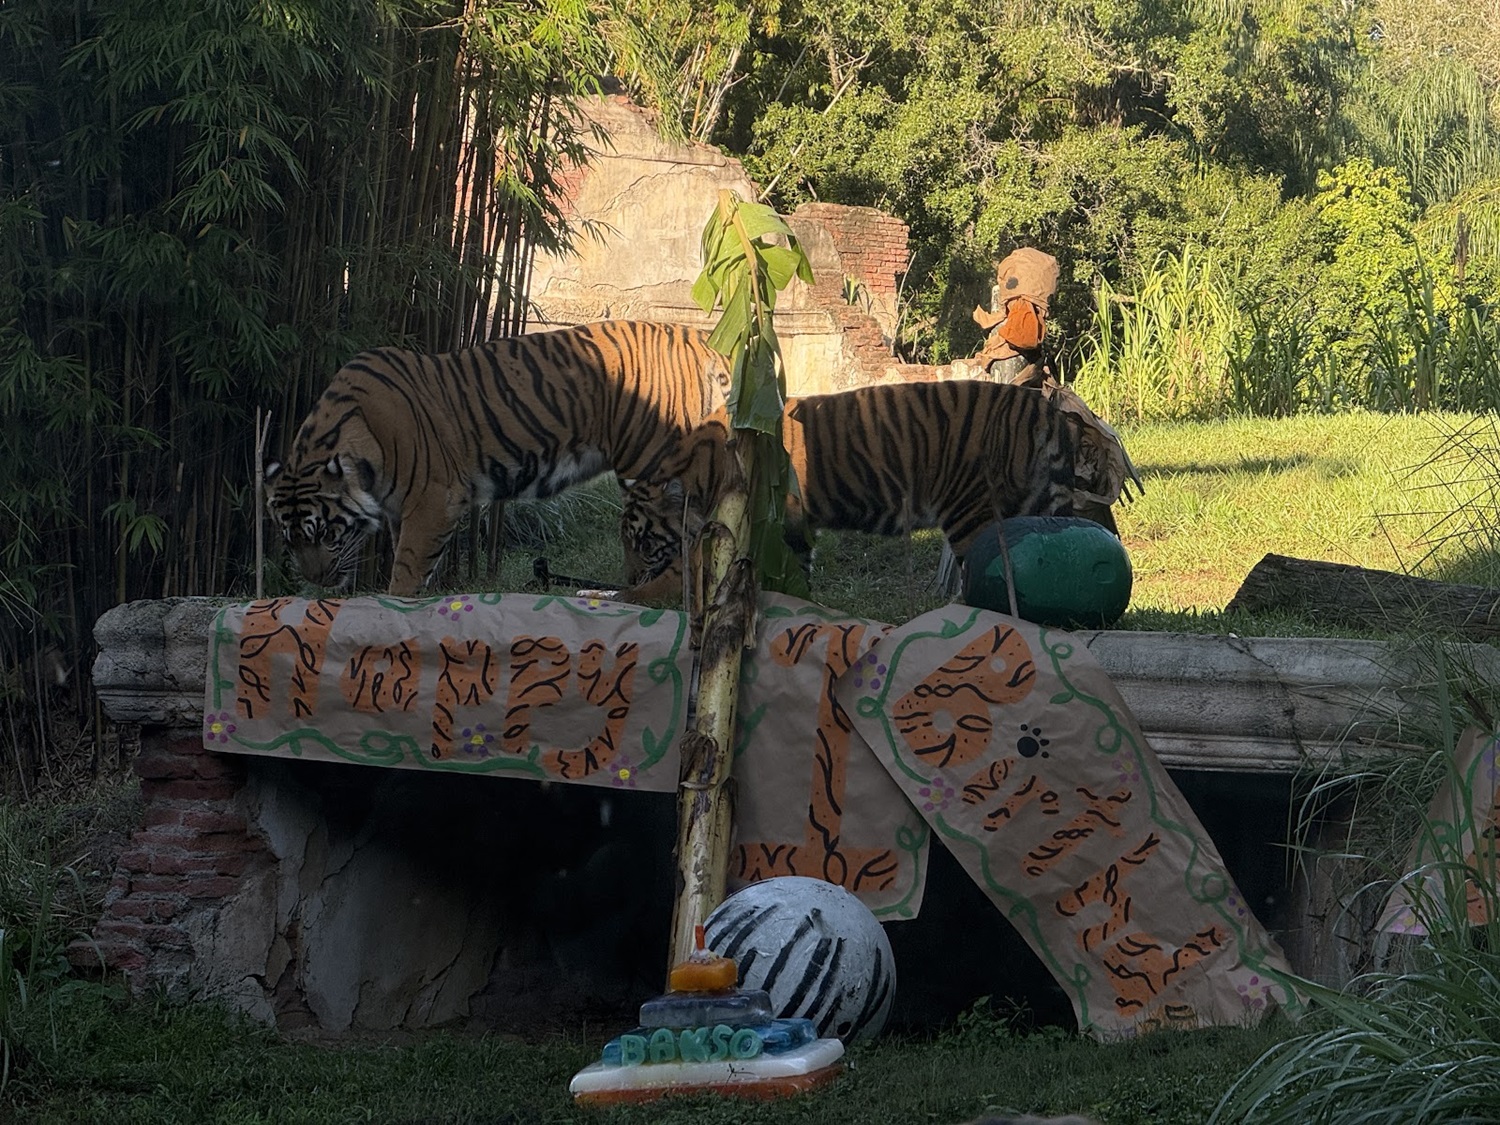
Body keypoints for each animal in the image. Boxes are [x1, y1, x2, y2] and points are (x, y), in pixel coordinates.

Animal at [265, 320, 730, 598]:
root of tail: (704, 341)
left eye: (326, 533)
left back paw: (644, 595)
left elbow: (408, 566)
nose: (316, 580)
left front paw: (396, 606)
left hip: (654, 465)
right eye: (290, 540)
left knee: (683, 534)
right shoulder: (400, 510)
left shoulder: (434, 501)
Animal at [620, 378, 1133, 603]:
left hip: (971, 510)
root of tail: (1044, 408)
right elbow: (798, 567)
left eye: (643, 543)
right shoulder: (794, 524)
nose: (629, 576)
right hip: (1039, 502)